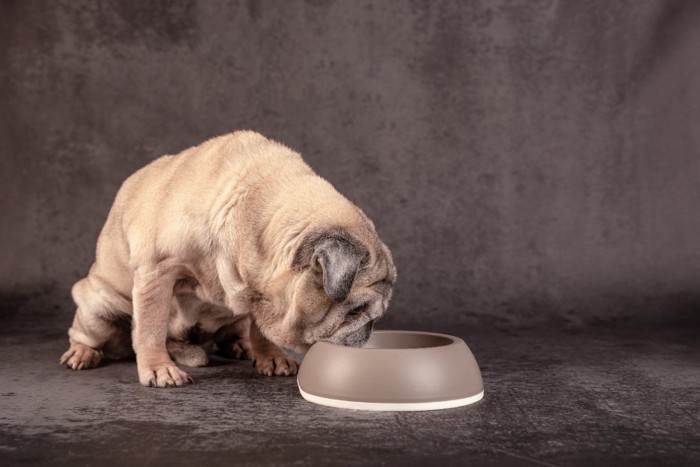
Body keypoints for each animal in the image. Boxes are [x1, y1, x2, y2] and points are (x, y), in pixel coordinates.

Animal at [60, 131, 396, 388]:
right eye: (355, 311)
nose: (369, 330)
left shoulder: (260, 288)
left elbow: (261, 327)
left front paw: (270, 355)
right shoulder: (157, 272)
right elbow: (150, 329)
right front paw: (157, 368)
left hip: (236, 317)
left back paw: (240, 346)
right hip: (98, 307)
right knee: (88, 333)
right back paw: (83, 353)